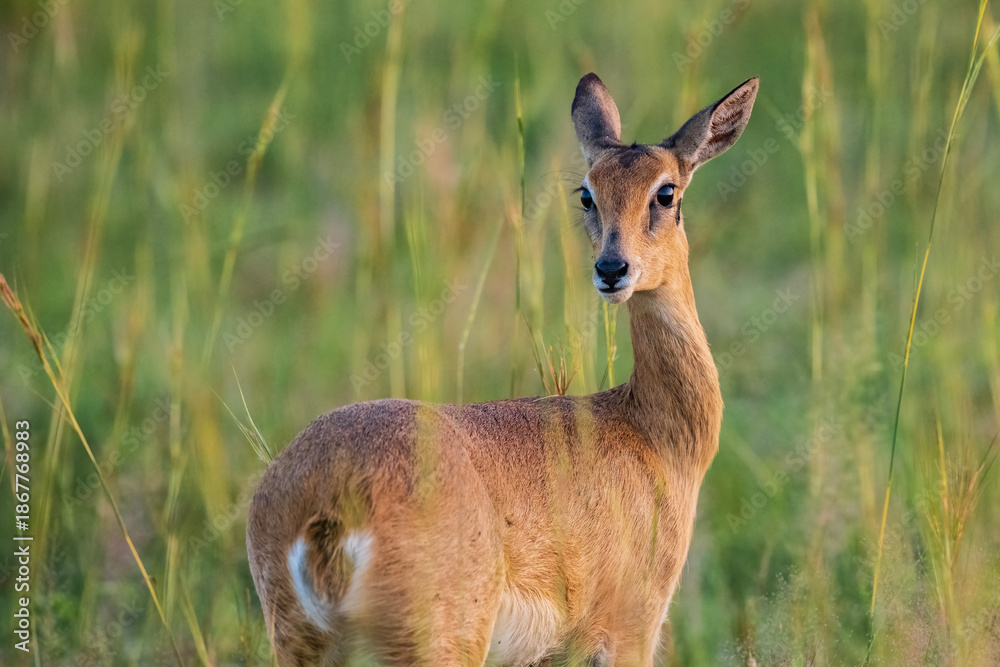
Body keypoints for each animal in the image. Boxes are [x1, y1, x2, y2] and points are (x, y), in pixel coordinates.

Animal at [247, 73, 758, 666]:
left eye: (666, 191)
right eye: (587, 192)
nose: (612, 268)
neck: (651, 432)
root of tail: (326, 508)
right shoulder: (631, 632)